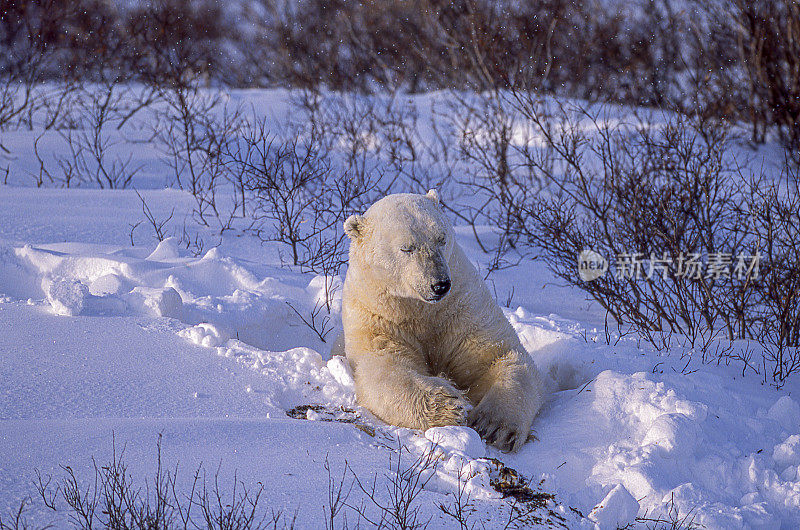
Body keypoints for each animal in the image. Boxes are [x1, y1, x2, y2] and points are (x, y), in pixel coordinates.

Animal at [340, 188, 548, 448]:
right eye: (407, 248)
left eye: (441, 238)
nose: (439, 284)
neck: (421, 310)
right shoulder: (378, 318)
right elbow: (385, 368)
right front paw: (449, 404)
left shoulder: (462, 309)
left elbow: (499, 356)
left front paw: (494, 426)